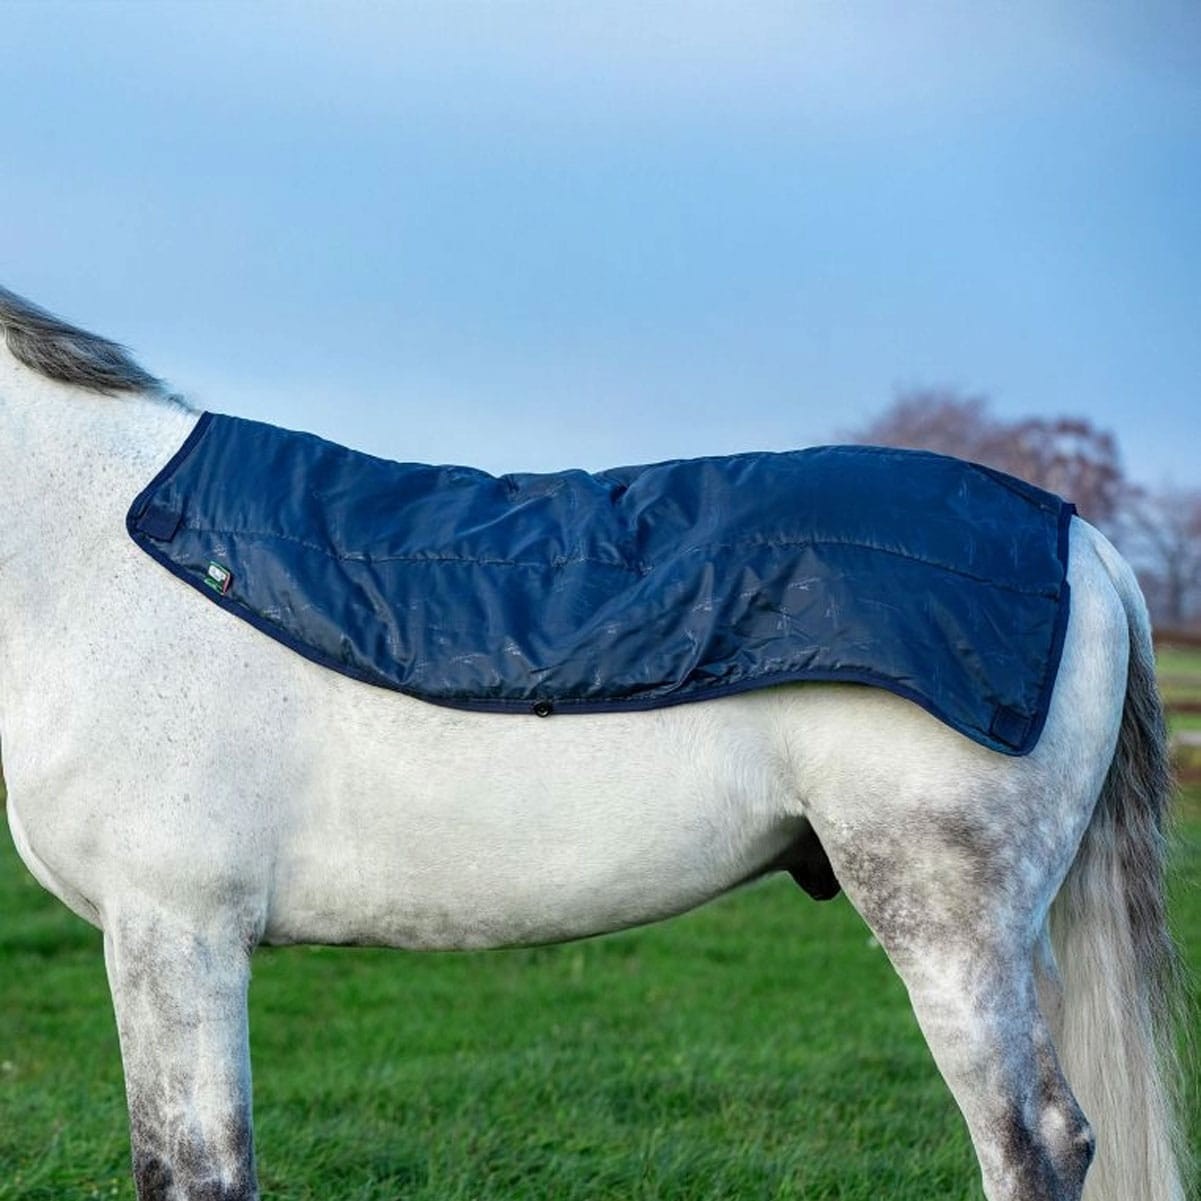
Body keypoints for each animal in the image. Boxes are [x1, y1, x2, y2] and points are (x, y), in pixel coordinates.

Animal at [0, 284, 1189, 1201]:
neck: (94, 561)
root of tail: (1082, 542)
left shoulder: (176, 931)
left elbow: (196, 1171)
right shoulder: (171, 937)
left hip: (948, 921)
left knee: (1034, 1143)